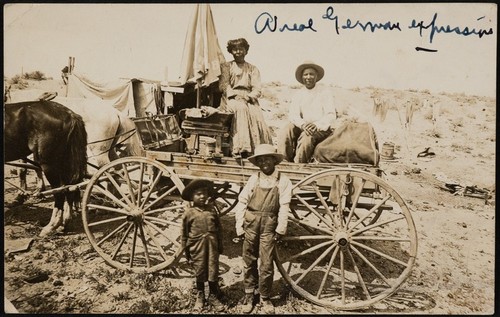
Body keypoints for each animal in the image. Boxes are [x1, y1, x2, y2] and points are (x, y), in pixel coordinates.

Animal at [4, 100, 88, 236]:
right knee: (70, 189)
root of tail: (70, 114)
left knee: (60, 193)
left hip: (50, 166)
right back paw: (64, 223)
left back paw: (51, 227)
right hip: (64, 163)